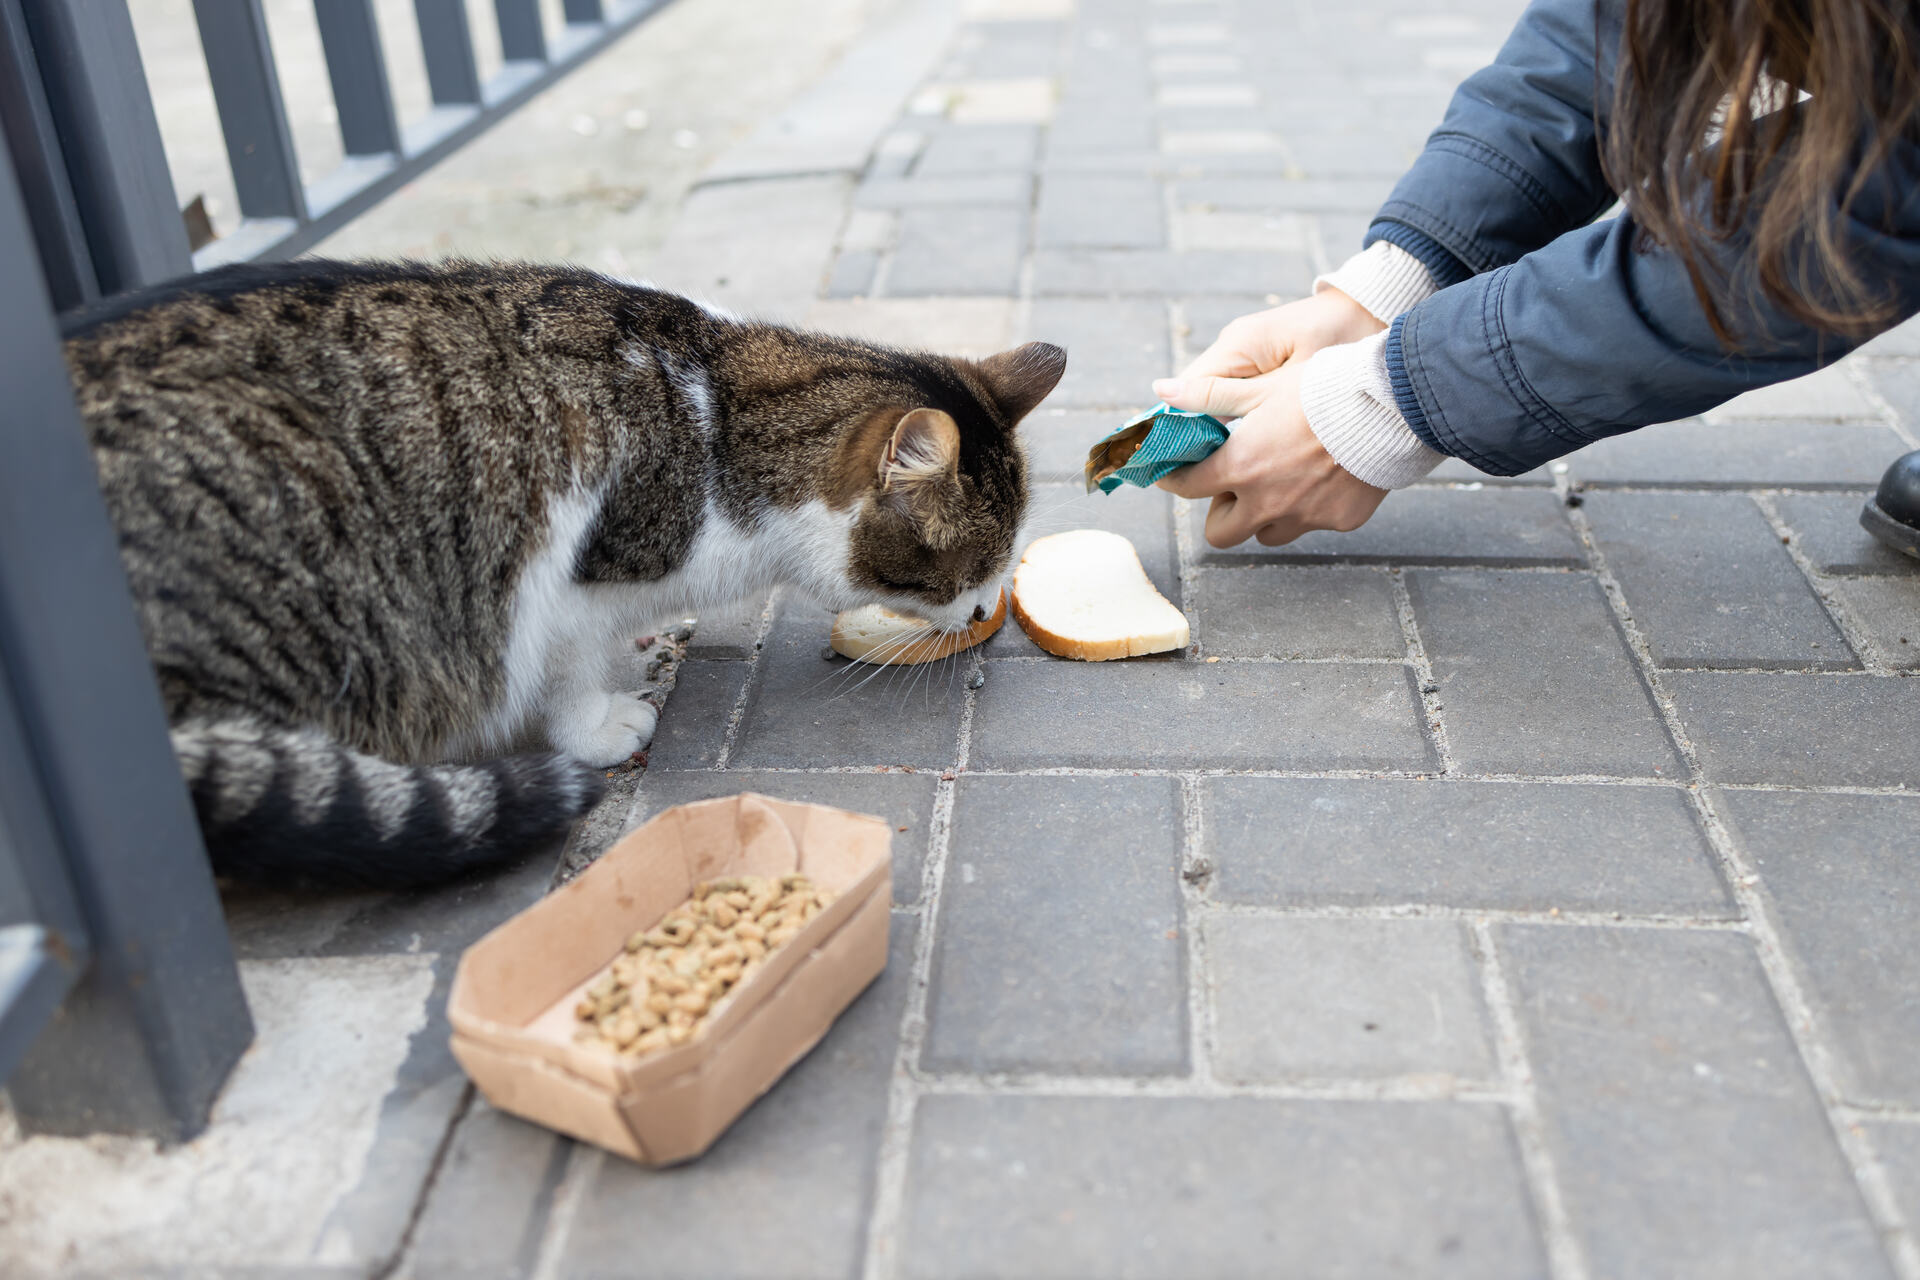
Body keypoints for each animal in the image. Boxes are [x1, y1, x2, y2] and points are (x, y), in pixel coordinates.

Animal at [67, 260, 1067, 890]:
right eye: (973, 566)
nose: (988, 605)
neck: (719, 429)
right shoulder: (563, 576)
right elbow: (572, 662)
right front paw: (601, 724)